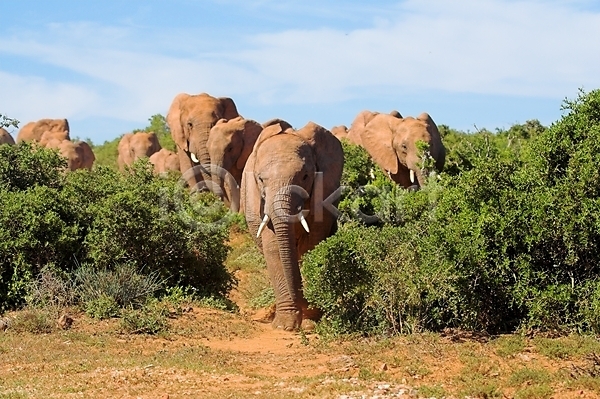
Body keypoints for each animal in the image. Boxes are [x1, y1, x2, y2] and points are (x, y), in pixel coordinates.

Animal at [239, 121, 342, 332]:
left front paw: (310, 322)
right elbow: (274, 248)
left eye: (305, 176)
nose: (305, 303)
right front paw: (285, 326)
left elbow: (312, 244)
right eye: (260, 179)